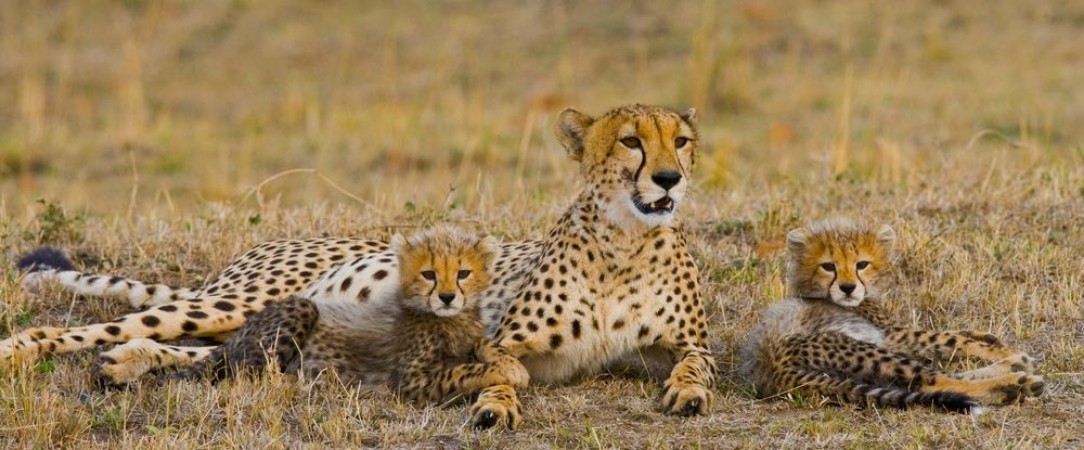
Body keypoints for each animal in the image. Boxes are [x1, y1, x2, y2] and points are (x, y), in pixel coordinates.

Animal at [171, 226, 529, 405]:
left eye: (463, 273)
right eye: (429, 274)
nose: (447, 297)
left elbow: (488, 345)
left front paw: (511, 364)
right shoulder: (411, 382)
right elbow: (464, 371)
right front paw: (506, 372)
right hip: (301, 307)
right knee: (250, 375)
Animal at [741, 218, 1044, 414]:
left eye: (861, 264)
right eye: (828, 266)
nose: (848, 288)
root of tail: (772, 370)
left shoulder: (891, 335)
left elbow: (954, 335)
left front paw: (992, 340)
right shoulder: (892, 335)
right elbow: (946, 338)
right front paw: (1004, 351)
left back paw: (1013, 367)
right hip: (864, 352)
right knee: (933, 380)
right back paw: (1014, 383)